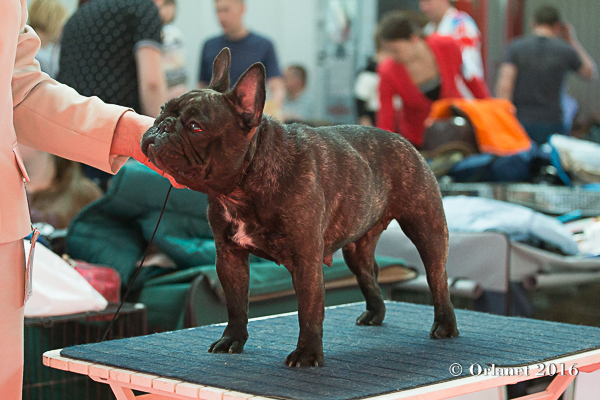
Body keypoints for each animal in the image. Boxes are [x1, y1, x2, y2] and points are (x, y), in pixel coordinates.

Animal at [141, 48, 458, 367]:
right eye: (162, 110)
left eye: (196, 127)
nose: (162, 125)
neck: (246, 181)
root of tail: (404, 141)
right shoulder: (229, 257)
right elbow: (236, 304)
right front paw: (232, 340)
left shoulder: (305, 260)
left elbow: (308, 309)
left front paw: (307, 354)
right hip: (357, 249)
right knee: (369, 273)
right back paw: (374, 314)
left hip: (427, 229)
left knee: (437, 278)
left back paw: (446, 326)